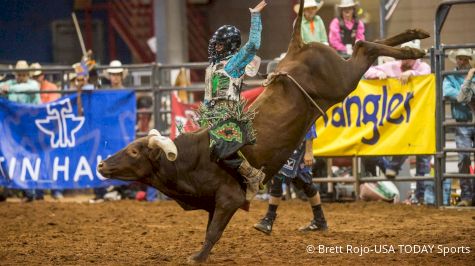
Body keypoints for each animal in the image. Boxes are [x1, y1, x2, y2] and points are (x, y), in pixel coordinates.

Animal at [97, 0, 432, 262]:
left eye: (134, 151)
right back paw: (415, 37)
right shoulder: (211, 204)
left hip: (341, 80)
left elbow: (213, 233)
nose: (101, 164)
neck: (184, 159)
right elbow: (209, 229)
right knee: (367, 46)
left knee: (364, 47)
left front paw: (196, 257)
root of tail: (297, 47)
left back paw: (413, 50)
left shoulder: (228, 199)